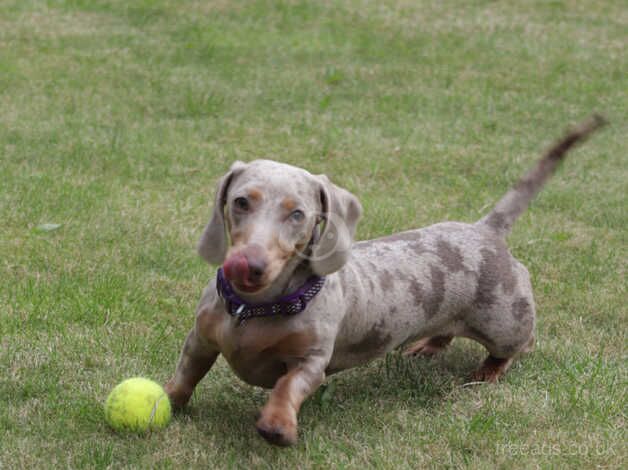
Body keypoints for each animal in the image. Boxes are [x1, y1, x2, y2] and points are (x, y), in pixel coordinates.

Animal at [166, 116, 604, 444]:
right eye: (241, 202)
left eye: (298, 214)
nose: (246, 266)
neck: (253, 310)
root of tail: (486, 229)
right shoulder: (200, 340)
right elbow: (186, 375)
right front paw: (168, 402)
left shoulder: (312, 361)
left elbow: (289, 385)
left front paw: (278, 423)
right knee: (447, 331)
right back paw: (428, 346)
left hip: (506, 323)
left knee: (519, 346)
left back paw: (488, 372)